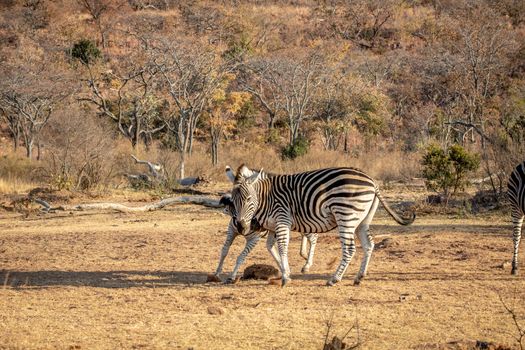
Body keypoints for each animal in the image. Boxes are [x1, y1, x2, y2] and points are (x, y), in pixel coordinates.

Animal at [227, 164, 416, 288]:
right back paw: (359, 277)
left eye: (249, 199)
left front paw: (286, 277)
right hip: (362, 221)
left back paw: (334, 279)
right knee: (369, 244)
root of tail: (372, 181)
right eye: (233, 200)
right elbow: (271, 248)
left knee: (349, 248)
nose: (241, 227)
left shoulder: (282, 220)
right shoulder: (273, 227)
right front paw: (285, 271)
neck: (266, 198)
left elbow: (282, 248)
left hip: (345, 216)